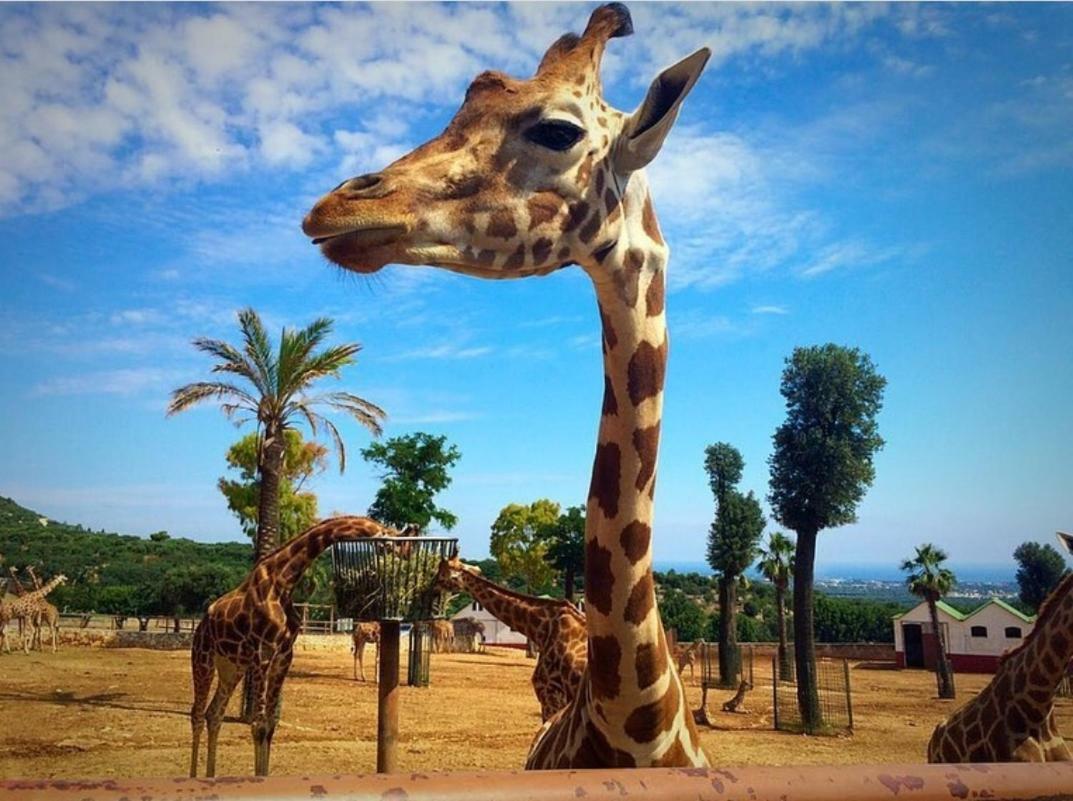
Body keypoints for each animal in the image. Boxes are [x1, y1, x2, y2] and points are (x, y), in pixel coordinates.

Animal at [188, 514, 390, 776]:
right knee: (197, 714)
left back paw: (211, 776)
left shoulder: (284, 655)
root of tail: (202, 623)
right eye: (388, 543)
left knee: (214, 714)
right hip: (203, 658)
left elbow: (270, 725)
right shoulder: (263, 653)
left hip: (232, 667)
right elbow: (258, 725)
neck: (283, 581)